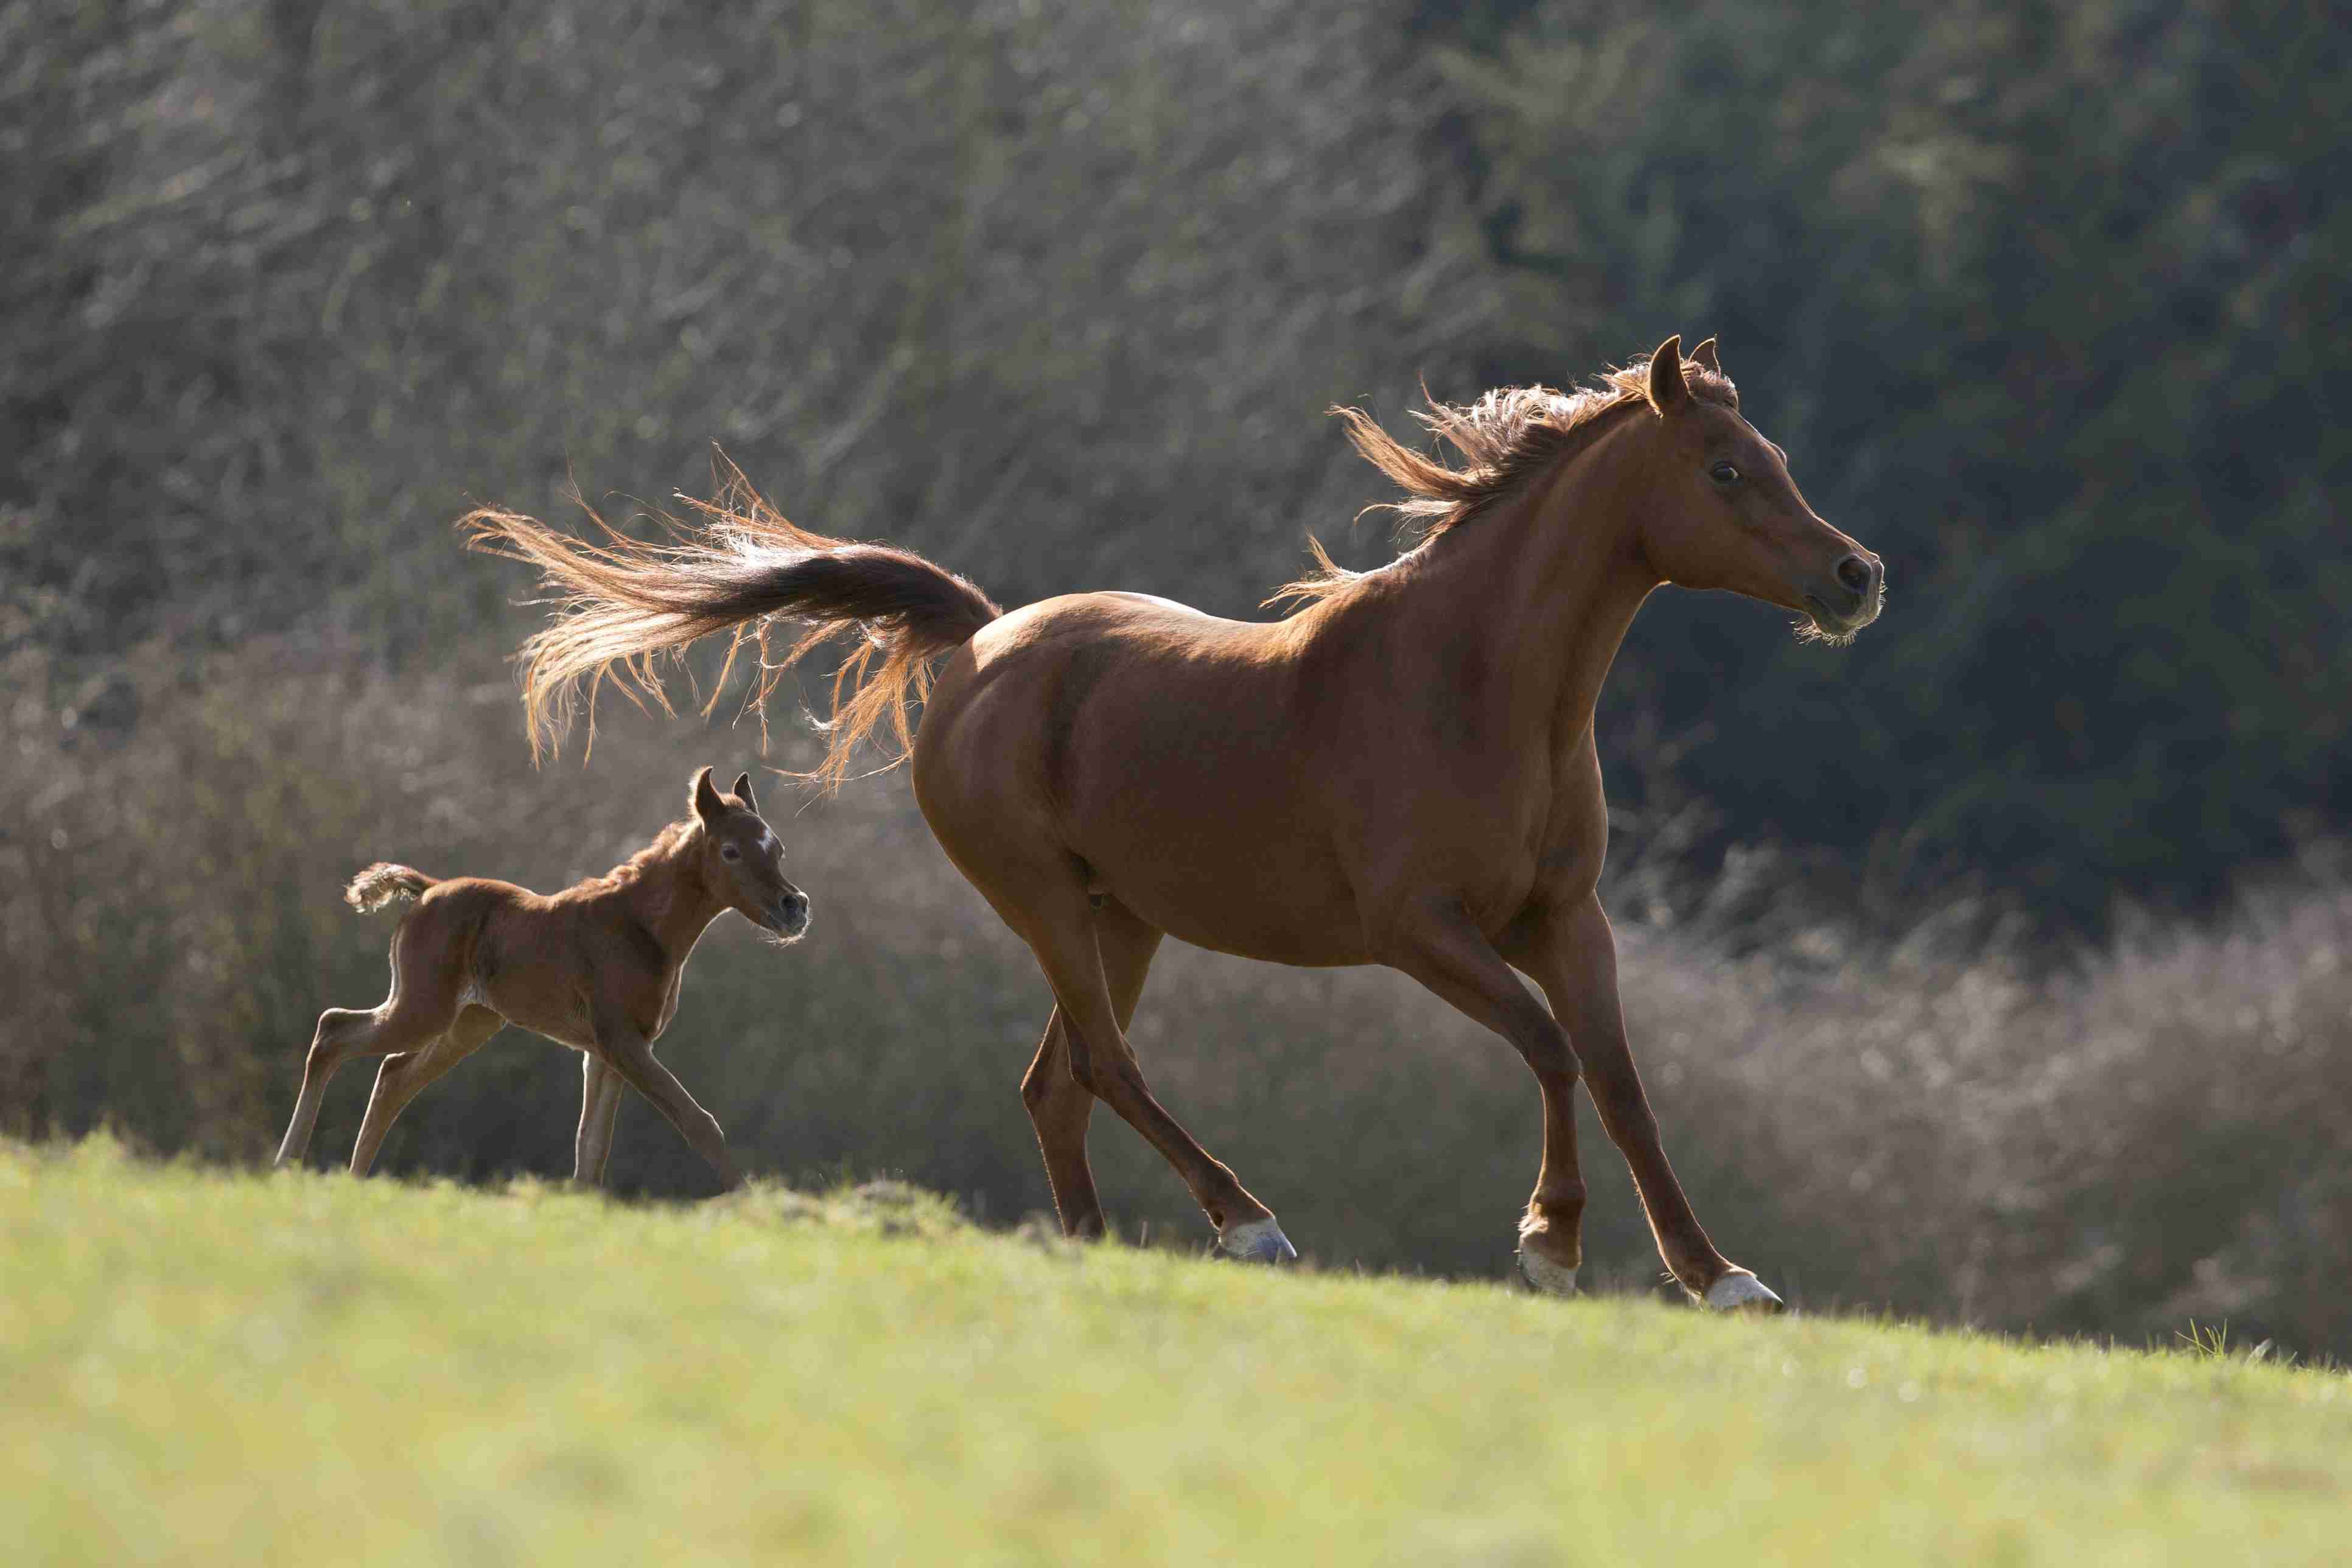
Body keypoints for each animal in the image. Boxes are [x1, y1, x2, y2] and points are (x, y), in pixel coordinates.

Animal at [270, 771, 809, 1189]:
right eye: (731, 851)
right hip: (422, 1008)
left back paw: (355, 1179)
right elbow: (699, 1123)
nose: (795, 907)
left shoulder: (609, 1051)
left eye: (778, 848)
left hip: (468, 1023)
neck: (640, 927)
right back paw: (287, 1164)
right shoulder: (622, 1041)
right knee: (334, 1031)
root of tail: (427, 890)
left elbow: (592, 1149)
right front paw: (753, 1209)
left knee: (393, 1075)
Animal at [467, 343, 1881, 1316]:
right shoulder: (1420, 930)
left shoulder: (1564, 921)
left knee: (1057, 1083)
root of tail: (984, 638)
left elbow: (1621, 1078)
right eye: (1724, 468)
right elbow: (1547, 1050)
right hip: (1046, 902)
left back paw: (1096, 1246)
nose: (1856, 576)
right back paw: (1246, 1221)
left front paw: (1719, 1275)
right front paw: (1551, 1241)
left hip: (1124, 917)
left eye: (1776, 460)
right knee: (1104, 1066)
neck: (1476, 684)